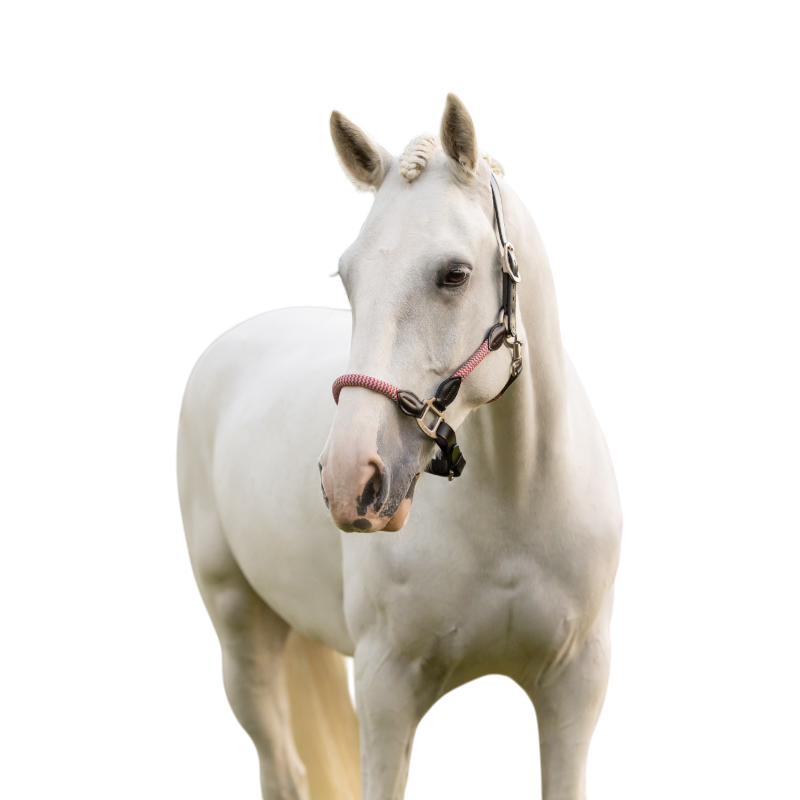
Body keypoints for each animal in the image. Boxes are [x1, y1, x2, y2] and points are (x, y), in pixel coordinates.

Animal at [176, 90, 623, 800]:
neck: (516, 504)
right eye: (346, 276)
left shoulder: (574, 690)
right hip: (241, 630)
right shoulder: (386, 694)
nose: (349, 479)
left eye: (454, 274)